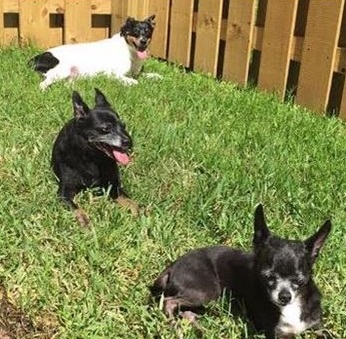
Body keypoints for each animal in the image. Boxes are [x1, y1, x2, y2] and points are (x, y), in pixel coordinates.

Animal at [29, 14, 159, 89]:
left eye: (147, 32)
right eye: (135, 31)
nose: (143, 41)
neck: (128, 49)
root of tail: (37, 57)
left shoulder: (135, 73)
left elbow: (147, 74)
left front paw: (156, 76)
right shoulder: (113, 74)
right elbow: (134, 81)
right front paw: (133, 83)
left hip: (71, 76)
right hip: (61, 71)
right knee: (42, 84)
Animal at [51, 88, 138, 226]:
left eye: (124, 126)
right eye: (105, 129)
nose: (129, 142)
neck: (92, 158)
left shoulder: (113, 188)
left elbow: (133, 203)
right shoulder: (64, 192)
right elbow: (76, 208)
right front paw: (84, 219)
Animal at [151, 205, 332, 339]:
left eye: (299, 279)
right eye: (268, 276)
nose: (284, 296)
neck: (293, 306)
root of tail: (172, 265)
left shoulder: (318, 327)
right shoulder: (278, 334)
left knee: (186, 311)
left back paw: (201, 330)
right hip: (207, 291)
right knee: (169, 302)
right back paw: (176, 327)